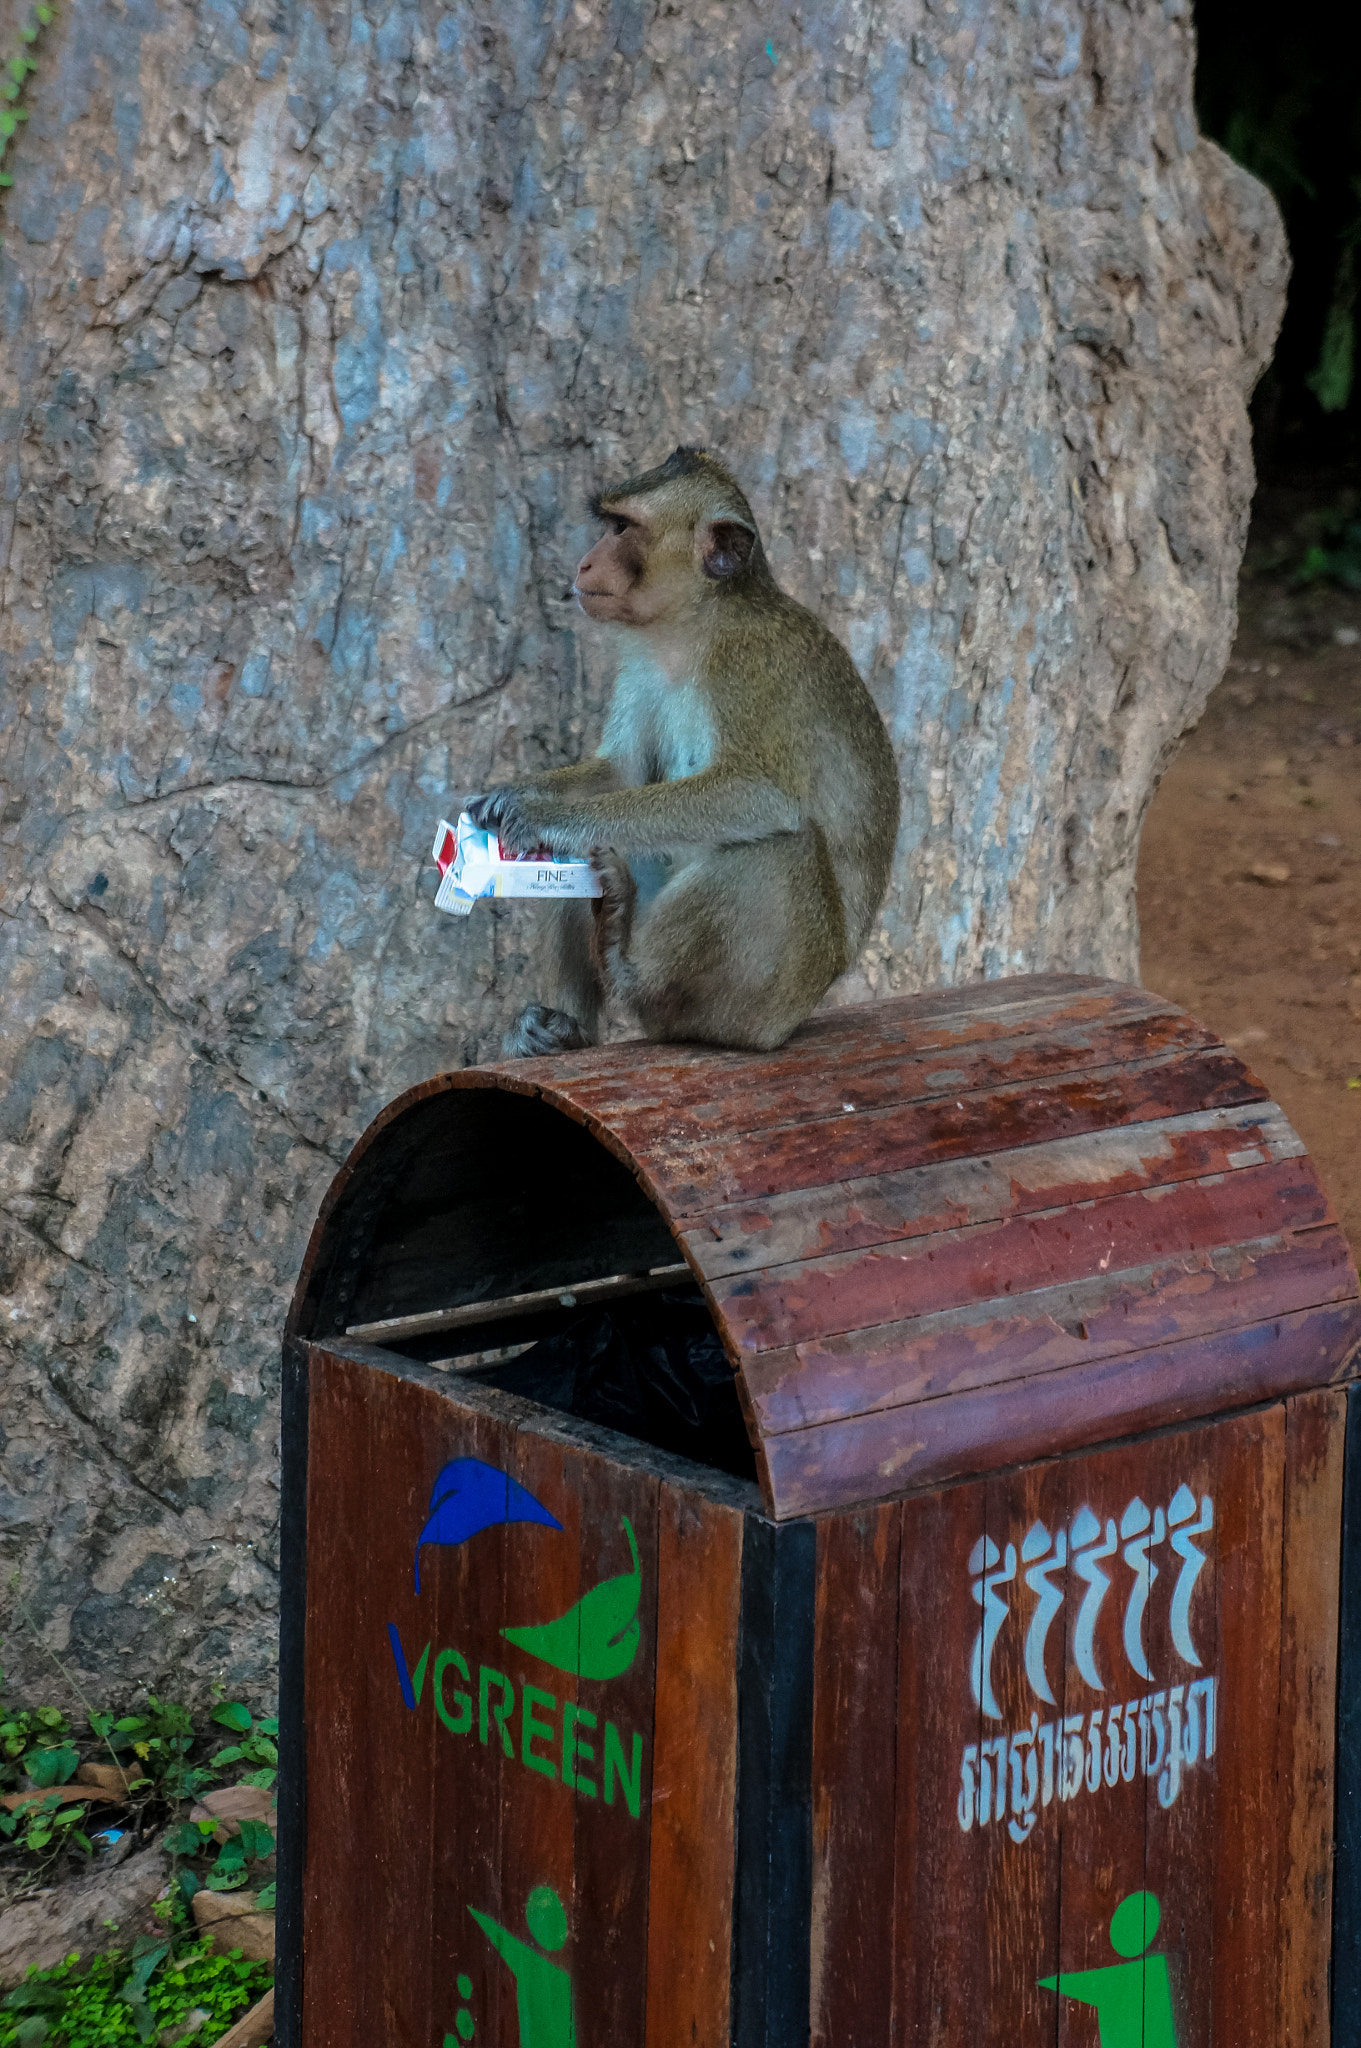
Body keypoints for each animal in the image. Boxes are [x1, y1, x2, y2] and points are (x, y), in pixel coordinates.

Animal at [462, 444, 896, 1056]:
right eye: (608, 524)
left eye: (623, 528)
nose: (584, 564)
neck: (694, 624)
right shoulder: (640, 658)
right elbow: (622, 774)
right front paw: (512, 797)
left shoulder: (746, 661)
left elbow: (759, 795)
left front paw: (545, 816)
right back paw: (566, 1029)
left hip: (768, 1001)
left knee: (779, 843)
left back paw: (630, 970)